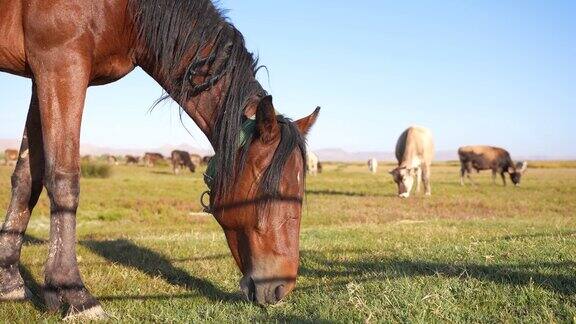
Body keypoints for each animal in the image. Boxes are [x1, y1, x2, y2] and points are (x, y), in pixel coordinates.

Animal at [0, 0, 320, 318]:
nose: (282, 287)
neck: (125, 11)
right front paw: (73, 292)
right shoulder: (60, 63)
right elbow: (63, 179)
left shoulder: (41, 77)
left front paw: (10, 283)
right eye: (273, 193)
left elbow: (28, 180)